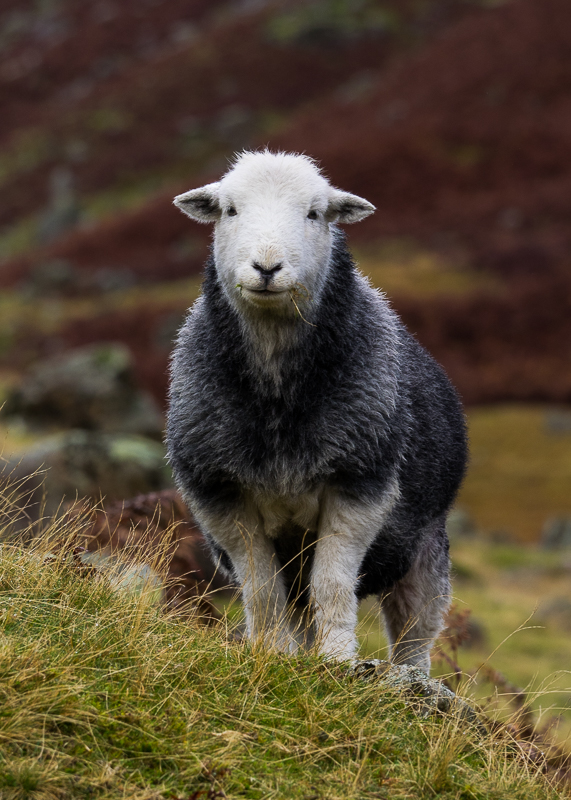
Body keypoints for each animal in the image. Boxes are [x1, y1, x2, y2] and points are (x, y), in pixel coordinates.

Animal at [167, 150, 467, 672]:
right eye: (230, 210)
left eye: (314, 213)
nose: (267, 267)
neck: (277, 396)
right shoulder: (218, 493)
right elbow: (261, 590)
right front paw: (271, 652)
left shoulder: (361, 483)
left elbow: (333, 583)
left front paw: (337, 659)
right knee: (296, 603)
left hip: (425, 554)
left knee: (414, 636)